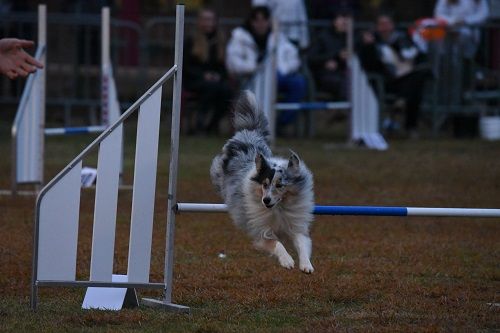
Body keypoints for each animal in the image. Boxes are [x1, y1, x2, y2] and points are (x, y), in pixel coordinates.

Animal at [209, 90, 314, 272]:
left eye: (279, 185)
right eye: (264, 184)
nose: (266, 200)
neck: (279, 208)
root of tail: (248, 131)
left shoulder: (295, 223)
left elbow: (302, 243)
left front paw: (306, 265)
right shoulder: (261, 230)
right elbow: (277, 244)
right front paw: (287, 261)